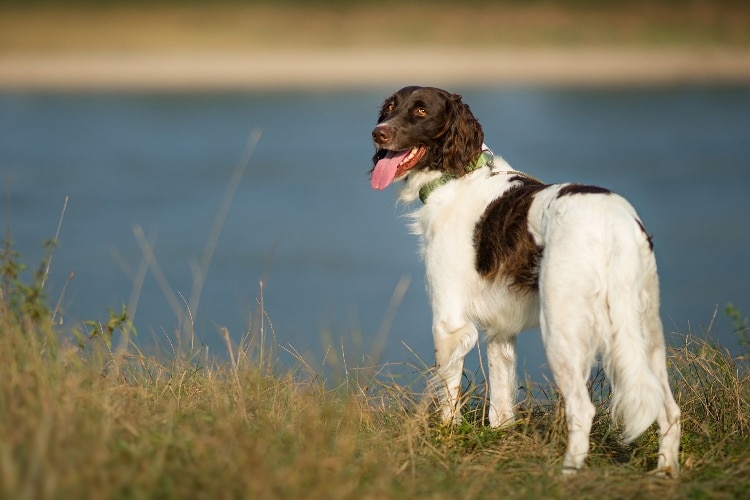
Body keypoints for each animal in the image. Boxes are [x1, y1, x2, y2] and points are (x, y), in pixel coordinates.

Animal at [370, 85, 680, 476]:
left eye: (421, 110)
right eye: (390, 107)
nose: (378, 133)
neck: (457, 178)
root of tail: (615, 222)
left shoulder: (449, 322)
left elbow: (447, 397)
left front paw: (445, 439)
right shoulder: (500, 331)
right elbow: (501, 405)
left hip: (563, 332)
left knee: (584, 409)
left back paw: (567, 474)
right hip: (644, 332)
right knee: (669, 408)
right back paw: (666, 472)